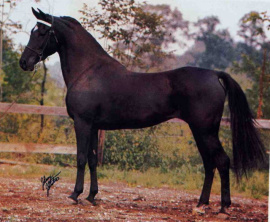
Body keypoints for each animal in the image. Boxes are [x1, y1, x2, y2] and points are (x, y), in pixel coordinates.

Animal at [19, 9, 266, 215]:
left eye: (42, 33)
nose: (24, 62)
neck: (88, 70)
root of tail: (215, 74)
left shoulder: (82, 123)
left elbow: (80, 158)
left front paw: (75, 194)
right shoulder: (94, 126)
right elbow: (92, 159)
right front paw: (92, 196)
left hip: (205, 131)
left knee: (222, 161)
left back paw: (223, 207)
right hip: (201, 132)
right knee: (209, 164)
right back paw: (200, 204)